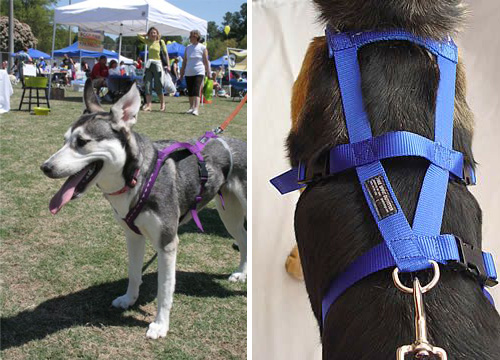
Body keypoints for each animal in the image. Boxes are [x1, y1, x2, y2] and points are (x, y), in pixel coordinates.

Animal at [41, 80, 248, 338]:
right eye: (64, 141)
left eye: (82, 142)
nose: (45, 167)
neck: (138, 177)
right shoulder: (133, 236)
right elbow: (133, 273)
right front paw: (129, 299)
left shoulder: (167, 243)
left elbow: (164, 289)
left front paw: (160, 324)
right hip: (229, 215)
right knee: (244, 240)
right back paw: (242, 273)